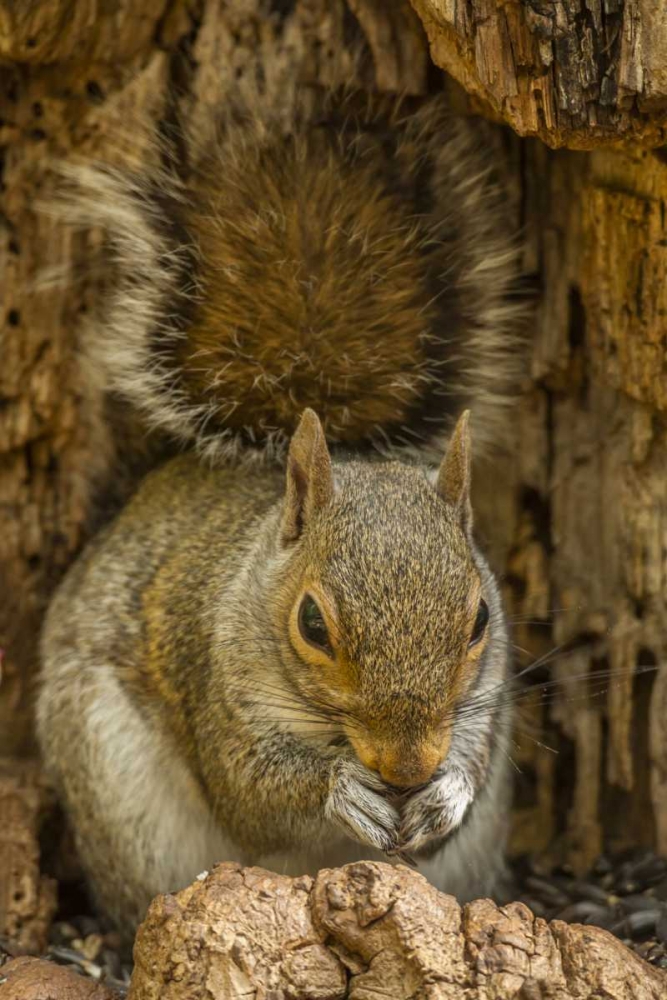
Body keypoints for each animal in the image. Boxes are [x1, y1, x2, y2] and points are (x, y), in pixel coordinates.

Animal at [36, 84, 524, 938]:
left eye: (478, 620)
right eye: (312, 625)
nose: (408, 767)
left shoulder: (486, 697)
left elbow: (471, 759)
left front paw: (446, 792)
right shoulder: (210, 677)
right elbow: (251, 792)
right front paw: (340, 789)